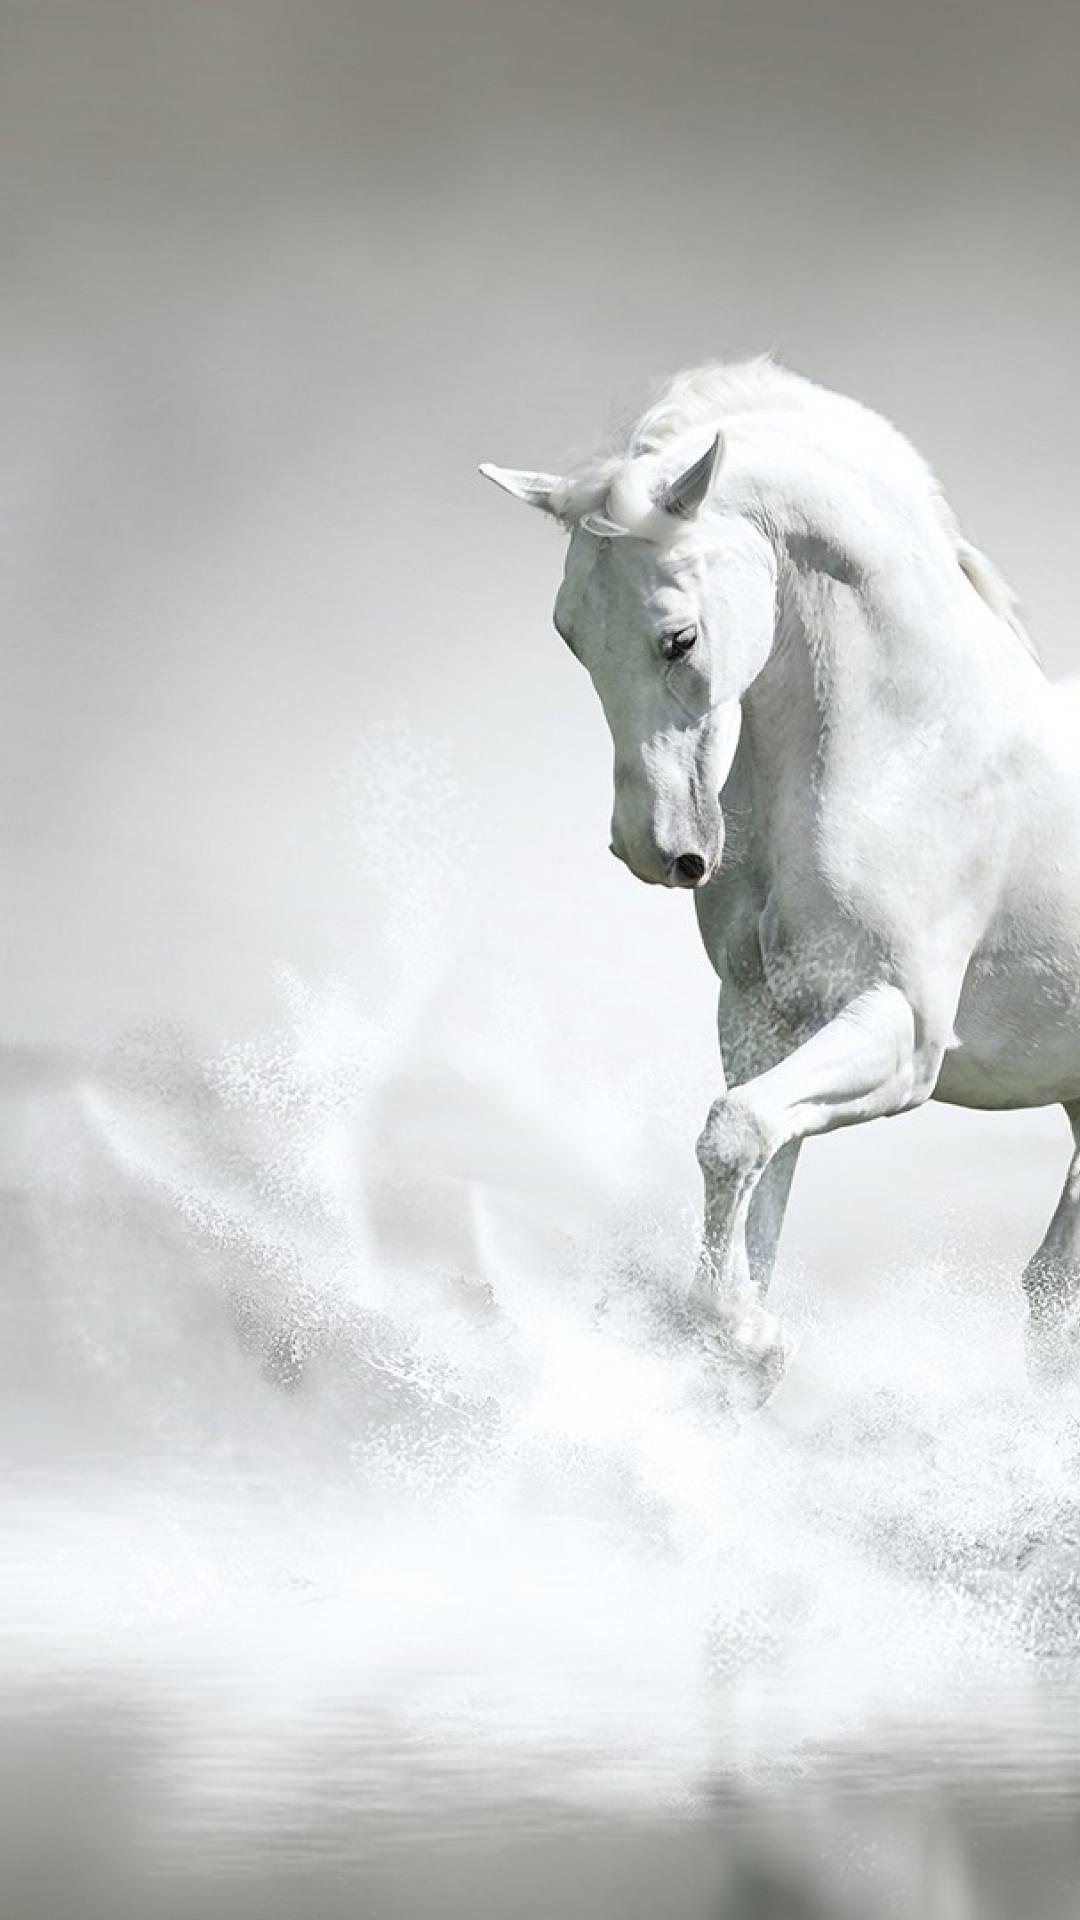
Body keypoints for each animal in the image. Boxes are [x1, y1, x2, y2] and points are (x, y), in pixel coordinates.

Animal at [481, 356, 1080, 1405]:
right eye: (569, 635)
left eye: (678, 638)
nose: (656, 850)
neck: (909, 749)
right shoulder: (768, 1022)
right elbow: (755, 1155)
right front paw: (740, 1345)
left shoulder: (899, 1031)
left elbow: (731, 1133)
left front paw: (744, 1337)